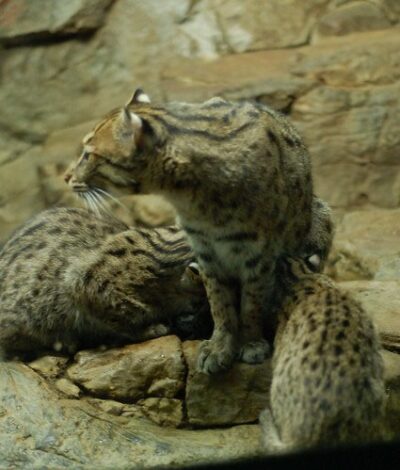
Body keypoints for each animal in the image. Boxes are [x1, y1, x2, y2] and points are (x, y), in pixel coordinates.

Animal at [65, 90, 316, 372]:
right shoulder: (206, 251)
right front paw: (219, 345)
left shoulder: (258, 253)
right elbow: (219, 302)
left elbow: (252, 303)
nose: (66, 177)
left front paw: (251, 342)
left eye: (88, 154)